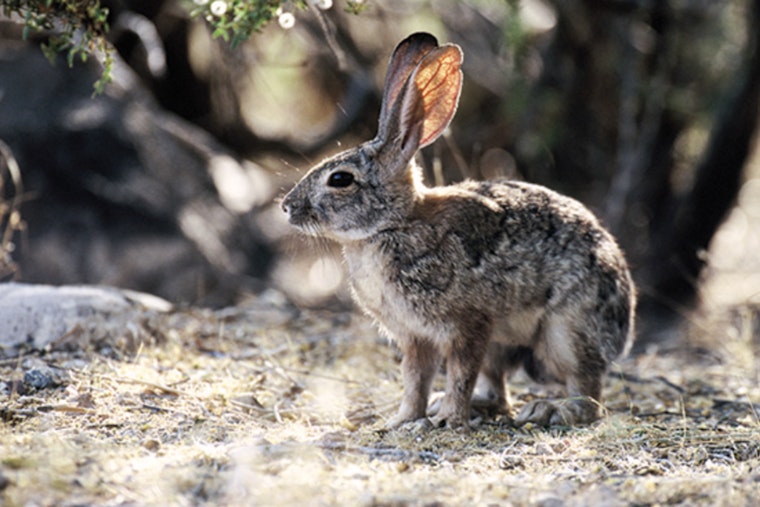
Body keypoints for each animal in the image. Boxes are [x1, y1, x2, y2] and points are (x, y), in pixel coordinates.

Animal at [281, 32, 636, 430]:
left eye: (340, 179)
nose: (287, 207)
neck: (392, 225)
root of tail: (624, 323)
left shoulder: (468, 324)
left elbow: (460, 374)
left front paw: (449, 419)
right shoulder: (415, 336)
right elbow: (415, 378)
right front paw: (402, 420)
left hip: (566, 333)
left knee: (586, 392)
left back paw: (549, 410)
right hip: (503, 345)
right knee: (497, 391)